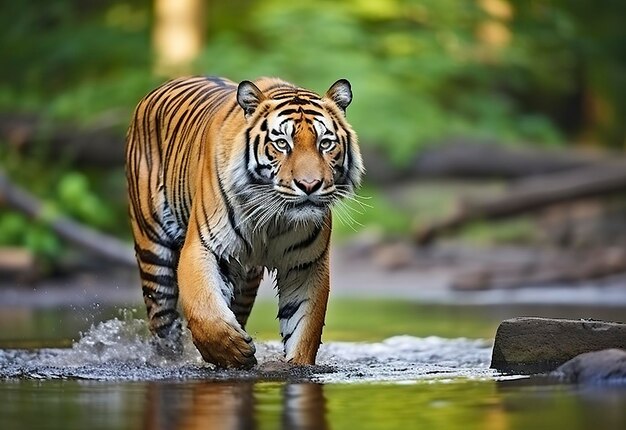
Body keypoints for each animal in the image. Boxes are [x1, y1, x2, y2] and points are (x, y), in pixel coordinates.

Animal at [125, 75, 364, 368]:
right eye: (282, 144)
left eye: (325, 144)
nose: (310, 185)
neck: (274, 218)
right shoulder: (203, 247)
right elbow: (204, 309)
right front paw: (232, 352)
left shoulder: (305, 265)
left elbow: (304, 328)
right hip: (153, 251)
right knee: (163, 321)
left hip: (247, 278)